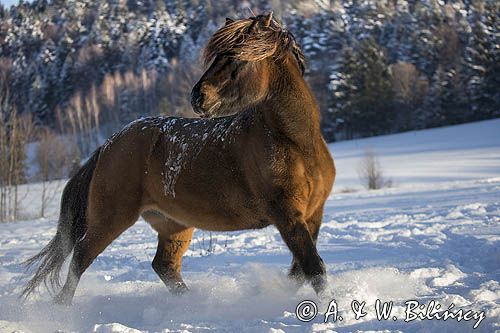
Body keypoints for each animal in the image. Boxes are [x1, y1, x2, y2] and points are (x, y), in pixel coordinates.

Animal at [23, 13, 336, 304]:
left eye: (236, 58)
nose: (198, 97)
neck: (296, 142)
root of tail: (107, 146)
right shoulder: (286, 214)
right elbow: (313, 268)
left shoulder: (312, 215)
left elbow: (301, 271)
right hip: (111, 218)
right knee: (80, 258)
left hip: (174, 224)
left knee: (164, 266)